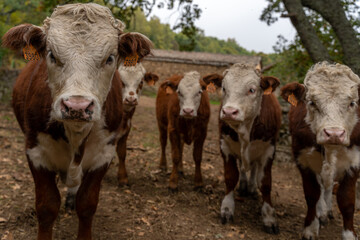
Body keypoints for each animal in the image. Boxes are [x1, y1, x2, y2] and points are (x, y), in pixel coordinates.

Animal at [2, 2, 152, 239]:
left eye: (110, 58)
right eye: (51, 55)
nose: (77, 107)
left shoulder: (104, 154)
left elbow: (87, 204)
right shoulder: (35, 151)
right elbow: (47, 206)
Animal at [208, 63, 282, 234]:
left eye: (252, 90)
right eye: (224, 88)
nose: (229, 112)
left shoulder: (269, 150)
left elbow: (265, 183)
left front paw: (269, 217)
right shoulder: (225, 146)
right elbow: (231, 177)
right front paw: (227, 208)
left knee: (254, 169)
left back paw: (252, 187)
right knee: (242, 167)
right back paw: (243, 185)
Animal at [282, 62, 360, 240]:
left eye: (352, 103)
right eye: (311, 102)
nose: (334, 134)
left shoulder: (354, 162)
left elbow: (346, 201)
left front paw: (349, 235)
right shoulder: (303, 160)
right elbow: (312, 195)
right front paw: (310, 228)